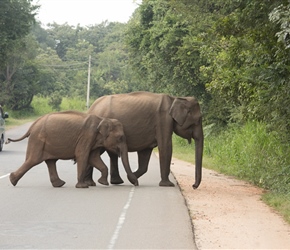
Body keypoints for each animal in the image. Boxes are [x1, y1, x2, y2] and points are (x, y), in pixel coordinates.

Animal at [6, 111, 138, 188]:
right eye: (120, 138)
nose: (136, 183)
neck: (103, 119)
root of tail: (33, 125)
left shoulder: (93, 140)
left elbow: (93, 158)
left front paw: (102, 183)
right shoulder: (87, 136)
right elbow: (82, 155)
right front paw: (83, 186)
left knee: (50, 161)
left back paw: (59, 184)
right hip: (38, 140)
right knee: (33, 160)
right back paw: (12, 180)